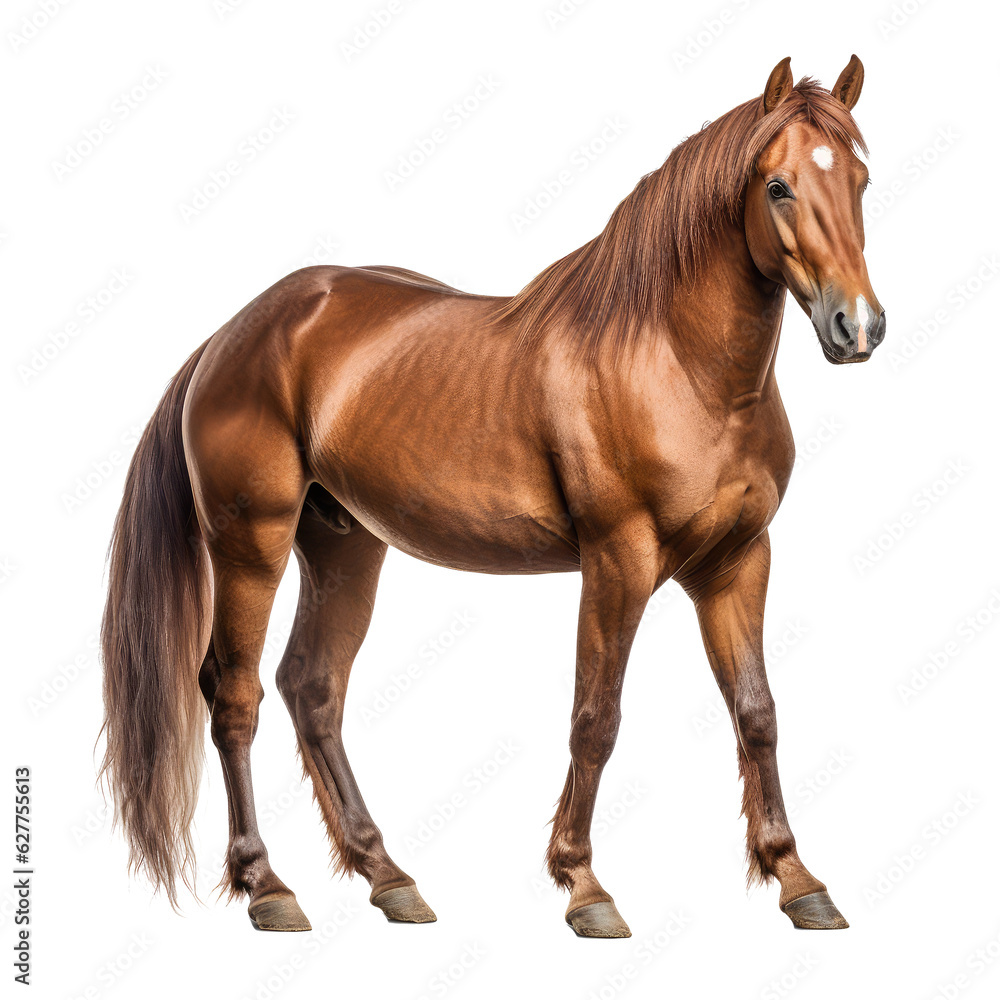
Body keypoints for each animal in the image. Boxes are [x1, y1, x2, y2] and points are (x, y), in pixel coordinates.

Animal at [100, 55, 883, 938]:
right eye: (778, 186)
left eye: (860, 178)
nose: (858, 326)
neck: (675, 362)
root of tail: (234, 335)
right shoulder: (618, 561)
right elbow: (596, 718)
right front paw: (584, 885)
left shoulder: (737, 563)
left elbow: (757, 713)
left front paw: (796, 878)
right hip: (251, 548)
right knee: (235, 696)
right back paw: (268, 886)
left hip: (343, 545)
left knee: (313, 688)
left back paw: (388, 876)